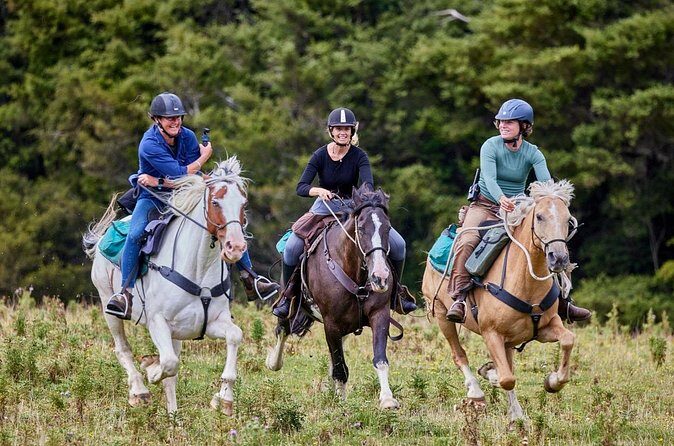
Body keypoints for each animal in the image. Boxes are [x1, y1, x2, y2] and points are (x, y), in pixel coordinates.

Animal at [83, 157, 248, 414]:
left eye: (243, 203)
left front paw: (224, 399)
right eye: (215, 201)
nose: (236, 247)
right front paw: (151, 369)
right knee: (123, 348)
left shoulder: (209, 323)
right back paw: (139, 391)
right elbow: (168, 363)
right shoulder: (157, 321)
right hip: (107, 304)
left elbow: (234, 336)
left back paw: (173, 416)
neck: (199, 268)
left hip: (178, 332)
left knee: (171, 375)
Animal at [266, 183, 401, 409]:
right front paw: (341, 404)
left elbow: (380, 358)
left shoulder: (379, 314)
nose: (380, 277)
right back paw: (273, 362)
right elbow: (340, 367)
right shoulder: (331, 323)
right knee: (283, 329)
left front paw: (387, 399)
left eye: (388, 228)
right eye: (361, 228)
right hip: (291, 304)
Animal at [421, 179, 579, 427]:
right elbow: (506, 378)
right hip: (440, 314)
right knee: (459, 354)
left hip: (510, 339)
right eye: (539, 216)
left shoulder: (545, 327)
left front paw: (552, 382)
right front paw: (491, 373)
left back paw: (516, 415)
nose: (559, 258)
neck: (525, 281)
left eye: (568, 219)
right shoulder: (491, 333)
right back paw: (476, 392)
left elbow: (568, 340)